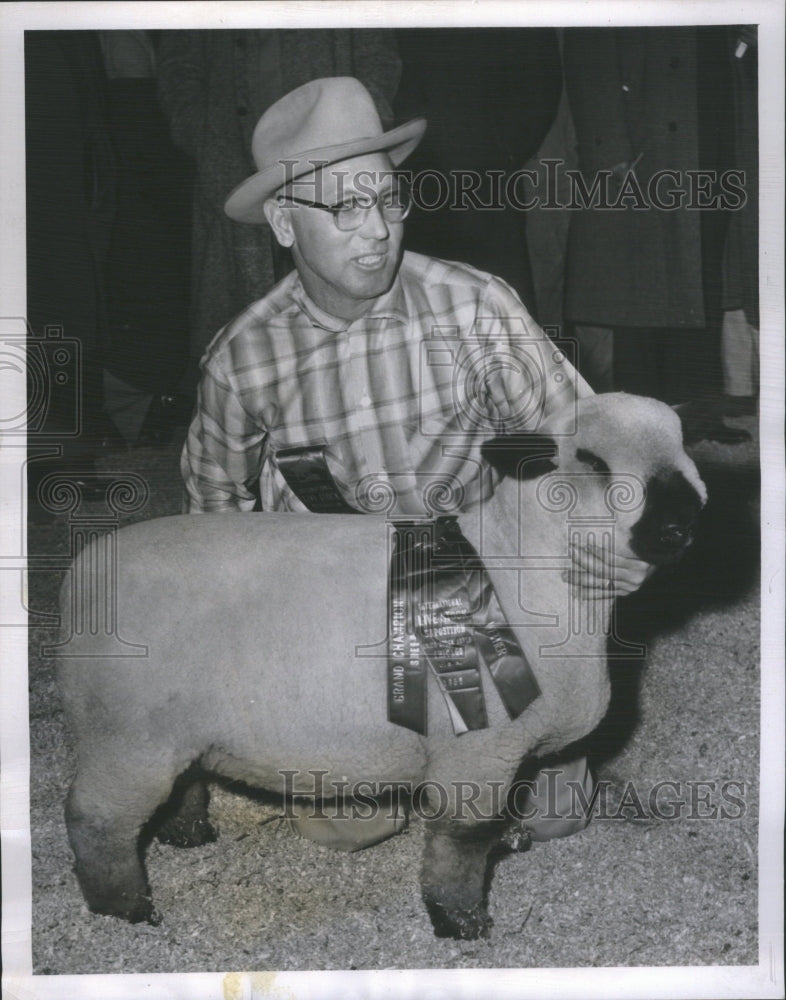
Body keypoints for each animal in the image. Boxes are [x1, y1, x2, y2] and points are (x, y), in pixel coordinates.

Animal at [55, 388, 704, 936]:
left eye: (683, 448)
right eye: (590, 460)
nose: (681, 526)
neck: (520, 565)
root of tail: (80, 576)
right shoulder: (477, 749)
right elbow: (461, 842)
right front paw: (461, 921)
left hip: (173, 728)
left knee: (179, 784)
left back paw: (187, 836)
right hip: (125, 733)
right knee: (96, 820)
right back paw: (127, 910)